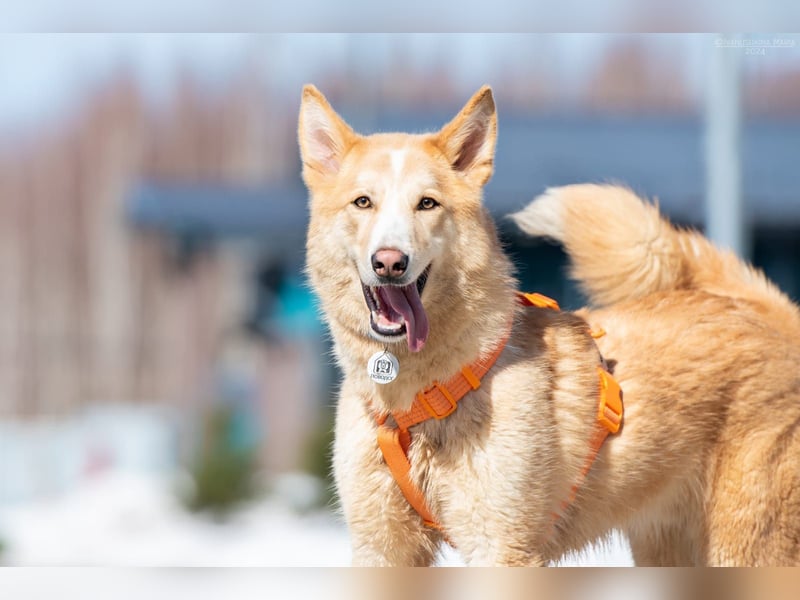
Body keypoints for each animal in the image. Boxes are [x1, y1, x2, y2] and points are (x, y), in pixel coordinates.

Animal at [298, 84, 800, 568]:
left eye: (427, 204)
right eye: (363, 202)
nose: (389, 262)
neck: (418, 399)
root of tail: (765, 312)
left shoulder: (501, 547)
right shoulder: (381, 547)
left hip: (743, 545)